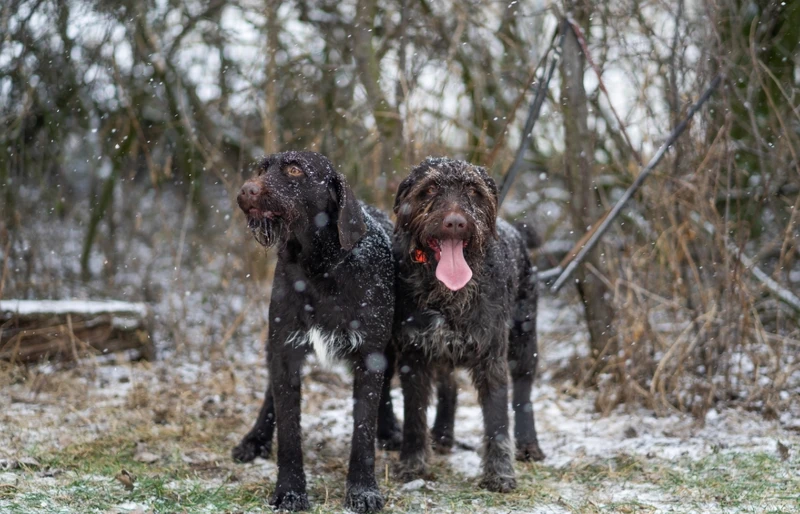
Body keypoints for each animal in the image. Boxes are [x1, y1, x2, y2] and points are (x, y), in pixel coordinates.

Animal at [230, 150, 396, 510]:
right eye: (262, 168)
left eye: (295, 170)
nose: (247, 189)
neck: (319, 269)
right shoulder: (285, 351)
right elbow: (289, 431)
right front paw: (290, 491)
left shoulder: (370, 356)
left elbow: (363, 430)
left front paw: (362, 490)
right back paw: (254, 439)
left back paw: (390, 430)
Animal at [390, 157, 540, 492]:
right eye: (430, 188)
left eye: (473, 190)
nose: (456, 223)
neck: (448, 296)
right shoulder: (413, 357)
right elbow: (414, 417)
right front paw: (413, 464)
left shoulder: (492, 357)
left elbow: (497, 420)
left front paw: (499, 474)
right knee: (450, 387)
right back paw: (443, 434)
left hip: (525, 341)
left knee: (523, 393)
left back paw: (529, 444)